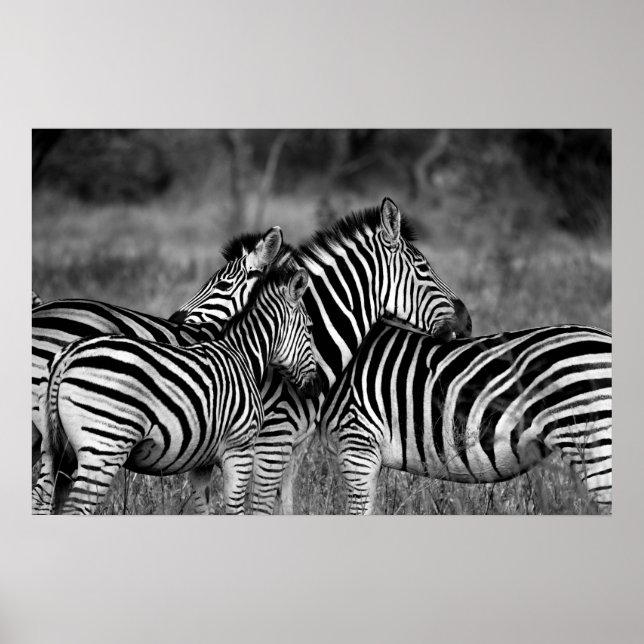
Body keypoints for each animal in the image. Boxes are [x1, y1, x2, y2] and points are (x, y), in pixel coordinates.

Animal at [172, 197, 472, 514]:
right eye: (424, 268)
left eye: (222, 285)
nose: (467, 321)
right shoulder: (270, 440)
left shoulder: (291, 445)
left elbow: (283, 505)